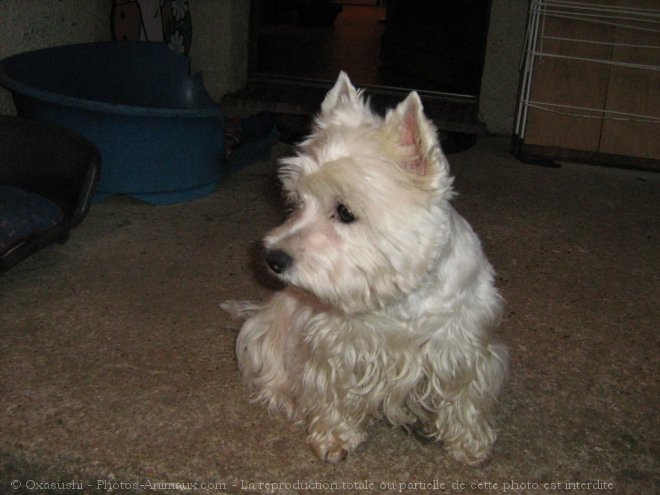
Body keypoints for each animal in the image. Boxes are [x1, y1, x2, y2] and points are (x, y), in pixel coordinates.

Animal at [222, 72, 506, 464]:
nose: (271, 259)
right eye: (298, 201)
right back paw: (286, 398)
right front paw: (334, 438)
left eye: (345, 211)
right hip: (264, 333)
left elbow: (466, 398)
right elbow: (333, 392)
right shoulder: (336, 346)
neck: (400, 299)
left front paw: (469, 444)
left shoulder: (465, 348)